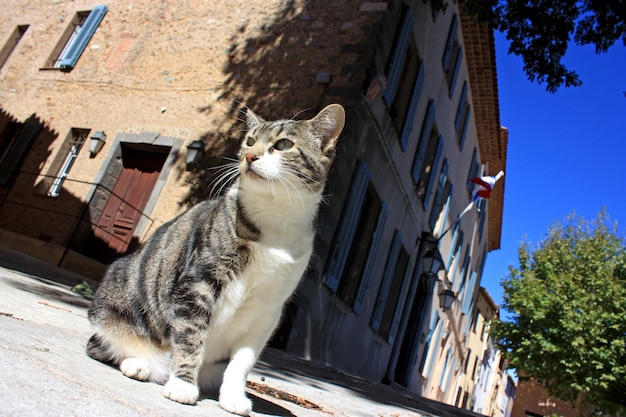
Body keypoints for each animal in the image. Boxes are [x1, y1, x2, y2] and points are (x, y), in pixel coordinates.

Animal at [85, 103, 344, 412]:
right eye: (250, 141)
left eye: (283, 144)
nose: (250, 156)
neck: (275, 217)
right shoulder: (197, 283)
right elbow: (191, 336)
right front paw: (183, 385)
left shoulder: (269, 309)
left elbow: (242, 362)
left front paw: (233, 398)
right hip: (112, 304)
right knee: (99, 344)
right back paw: (138, 365)